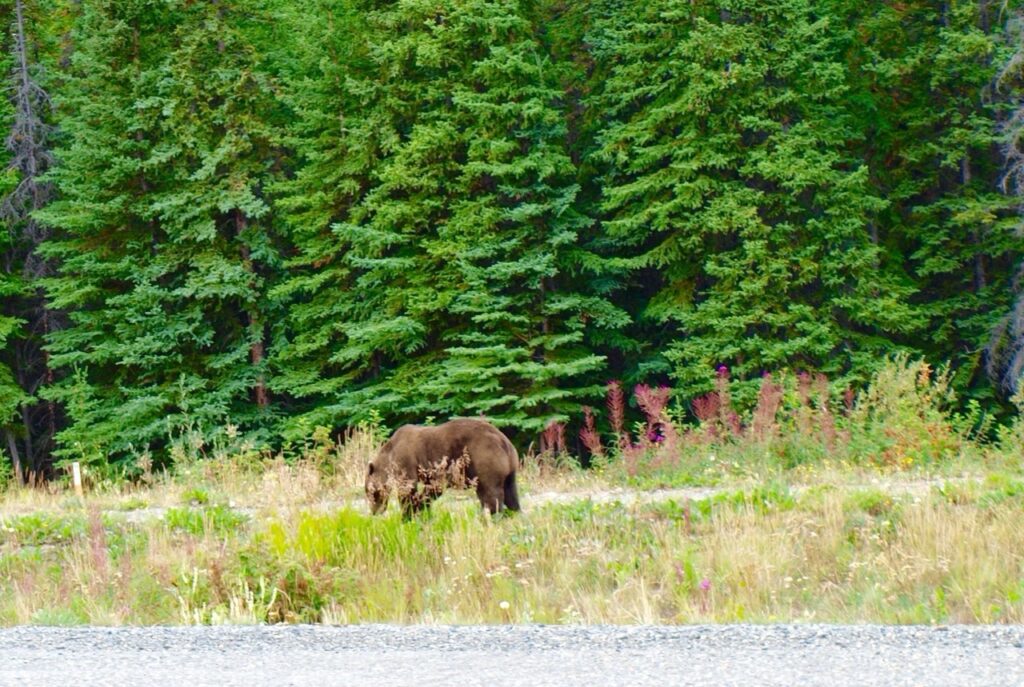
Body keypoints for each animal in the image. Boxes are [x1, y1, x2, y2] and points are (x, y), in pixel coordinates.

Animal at [364, 415, 520, 518]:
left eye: (370, 492)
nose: (374, 512)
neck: (390, 453)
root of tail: (503, 440)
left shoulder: (406, 459)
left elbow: (408, 489)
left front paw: (408, 513)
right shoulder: (429, 470)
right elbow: (432, 488)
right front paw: (421, 508)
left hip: (484, 456)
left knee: (490, 493)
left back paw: (491, 515)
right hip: (509, 469)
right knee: (510, 493)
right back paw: (514, 512)